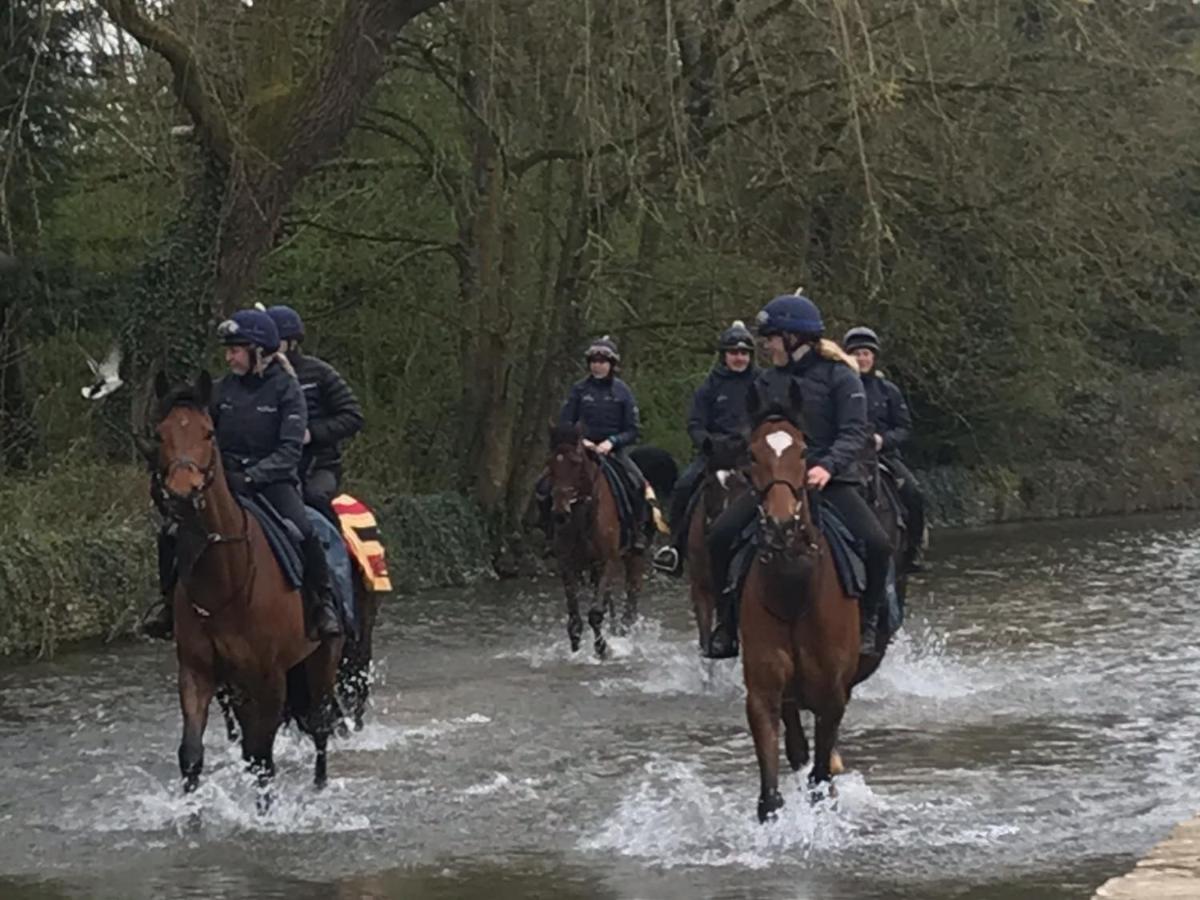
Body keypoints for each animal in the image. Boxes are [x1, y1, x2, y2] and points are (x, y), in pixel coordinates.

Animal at [144, 374, 348, 801]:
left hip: (322, 659)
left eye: (208, 433)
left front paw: (266, 810)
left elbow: (261, 758)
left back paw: (320, 785)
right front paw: (192, 810)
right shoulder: (198, 673)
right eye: (161, 433)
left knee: (320, 723)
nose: (182, 494)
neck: (224, 579)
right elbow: (192, 754)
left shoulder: (269, 679)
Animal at [549, 422, 648, 657]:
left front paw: (602, 649)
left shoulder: (606, 562)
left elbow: (595, 613)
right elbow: (574, 619)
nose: (560, 513)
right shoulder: (567, 565)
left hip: (633, 557)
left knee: (631, 598)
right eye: (550, 463)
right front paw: (576, 650)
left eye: (575, 463)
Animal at [729, 381, 883, 825]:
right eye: (751, 453)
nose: (781, 527)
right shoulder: (763, 693)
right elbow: (772, 794)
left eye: (802, 451)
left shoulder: (833, 695)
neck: (795, 588)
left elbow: (819, 778)